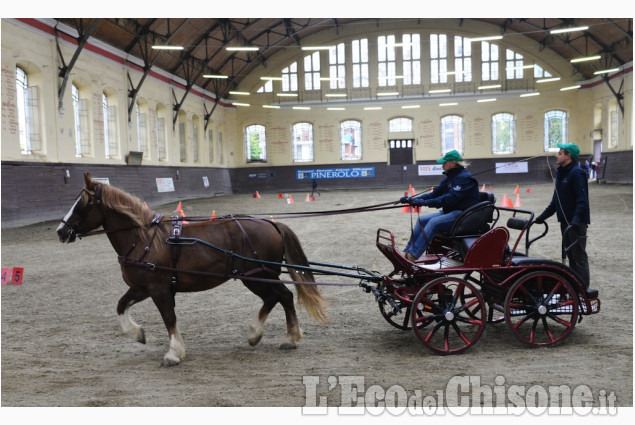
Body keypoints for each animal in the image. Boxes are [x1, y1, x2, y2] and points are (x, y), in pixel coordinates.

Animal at [56, 172, 328, 364]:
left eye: (81, 204)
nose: (60, 231)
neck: (143, 238)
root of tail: (271, 223)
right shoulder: (142, 287)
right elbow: (121, 306)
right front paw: (137, 334)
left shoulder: (158, 288)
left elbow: (168, 317)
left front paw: (174, 353)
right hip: (253, 276)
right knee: (275, 298)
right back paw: (256, 334)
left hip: (258, 275)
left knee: (284, 296)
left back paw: (288, 338)